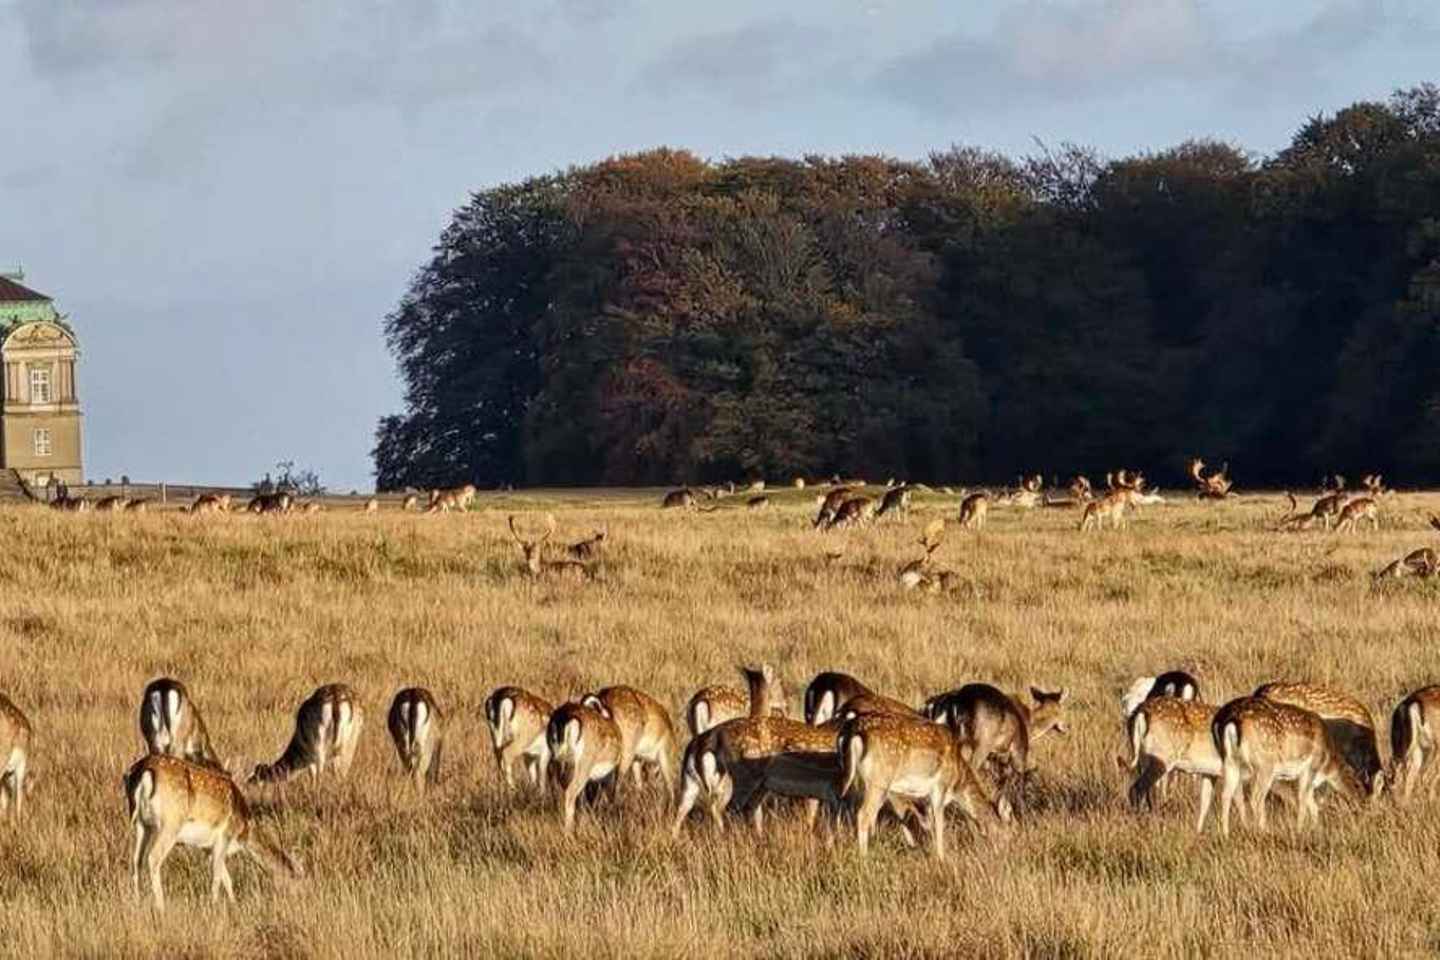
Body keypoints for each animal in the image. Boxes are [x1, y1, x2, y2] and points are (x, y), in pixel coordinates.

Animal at [124, 755, 304, 910]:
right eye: (295, 879)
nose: (297, 899)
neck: (243, 833)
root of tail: (143, 770)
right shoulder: (224, 836)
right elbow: (217, 876)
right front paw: (214, 905)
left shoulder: (208, 848)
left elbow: (226, 878)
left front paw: (233, 904)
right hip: (170, 823)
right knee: (153, 858)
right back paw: (161, 906)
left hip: (142, 823)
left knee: (136, 861)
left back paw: (137, 902)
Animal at [546, 701, 623, 833]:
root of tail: (563, 718)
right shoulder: (610, 774)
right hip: (583, 765)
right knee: (570, 793)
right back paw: (569, 830)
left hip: (556, 761)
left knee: (560, 791)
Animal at [839, 713, 1010, 859]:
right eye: (1002, 831)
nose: (1005, 852)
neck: (957, 783)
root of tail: (854, 734)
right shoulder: (939, 789)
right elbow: (940, 824)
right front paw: (941, 858)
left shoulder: (925, 798)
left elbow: (928, 823)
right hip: (879, 780)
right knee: (863, 815)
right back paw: (864, 858)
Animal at [1212, 696, 1376, 837]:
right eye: (1358, 786)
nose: (1363, 804)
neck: (1327, 764)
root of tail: (1230, 721)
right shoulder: (1309, 768)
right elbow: (1302, 801)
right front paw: (1300, 830)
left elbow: (1313, 805)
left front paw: (1316, 829)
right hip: (1264, 765)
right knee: (1256, 797)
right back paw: (1264, 831)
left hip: (1230, 761)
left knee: (1226, 794)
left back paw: (1225, 834)